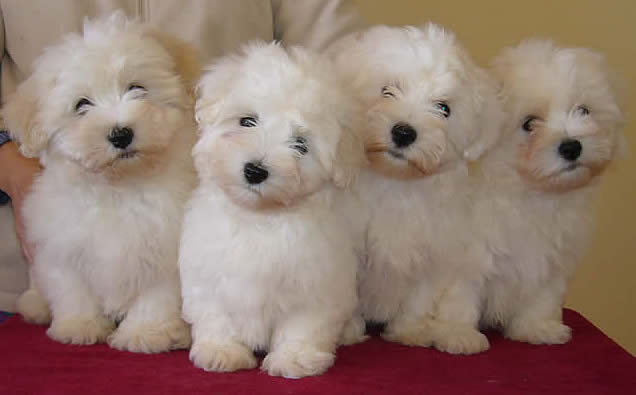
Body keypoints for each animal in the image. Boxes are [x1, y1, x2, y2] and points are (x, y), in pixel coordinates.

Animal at [5, 12, 199, 354]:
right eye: (82, 105)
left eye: (137, 88)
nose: (120, 134)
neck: (118, 187)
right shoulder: (64, 247)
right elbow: (73, 290)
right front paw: (79, 326)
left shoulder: (165, 249)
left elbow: (157, 295)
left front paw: (145, 333)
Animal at [179, 41, 362, 378]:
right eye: (247, 121)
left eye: (300, 144)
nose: (255, 170)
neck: (259, 218)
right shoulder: (208, 277)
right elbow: (216, 315)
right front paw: (222, 351)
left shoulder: (313, 283)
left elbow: (303, 325)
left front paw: (295, 358)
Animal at [328, 23, 502, 354]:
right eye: (387, 90)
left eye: (443, 108)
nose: (404, 132)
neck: (398, 183)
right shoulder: (353, 246)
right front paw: (348, 332)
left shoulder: (433, 251)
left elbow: (419, 297)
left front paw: (411, 332)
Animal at [480, 39, 624, 344]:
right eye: (529, 123)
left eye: (583, 111)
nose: (571, 147)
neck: (532, 194)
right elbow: (459, 296)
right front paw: (455, 333)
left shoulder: (551, 262)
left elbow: (541, 298)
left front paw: (537, 328)